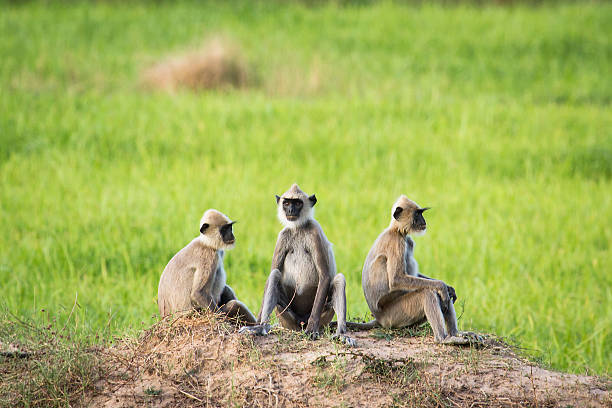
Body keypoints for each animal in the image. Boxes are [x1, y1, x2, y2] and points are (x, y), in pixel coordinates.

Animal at [238, 183, 354, 346]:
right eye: (286, 203)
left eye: (298, 203)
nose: (291, 210)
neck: (298, 228)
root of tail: (300, 322)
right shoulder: (282, 236)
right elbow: (272, 273)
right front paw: (255, 325)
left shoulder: (315, 232)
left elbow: (325, 276)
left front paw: (312, 329)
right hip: (286, 316)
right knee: (275, 275)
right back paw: (261, 328)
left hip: (324, 315)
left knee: (339, 279)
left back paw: (341, 334)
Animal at [360, 196, 470, 346]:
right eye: (417, 214)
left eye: (421, 213)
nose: (424, 221)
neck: (397, 230)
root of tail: (379, 319)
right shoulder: (396, 242)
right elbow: (396, 279)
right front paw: (442, 286)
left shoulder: (408, 241)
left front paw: (448, 287)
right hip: (394, 315)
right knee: (427, 293)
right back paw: (443, 338)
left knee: (441, 297)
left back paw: (455, 334)